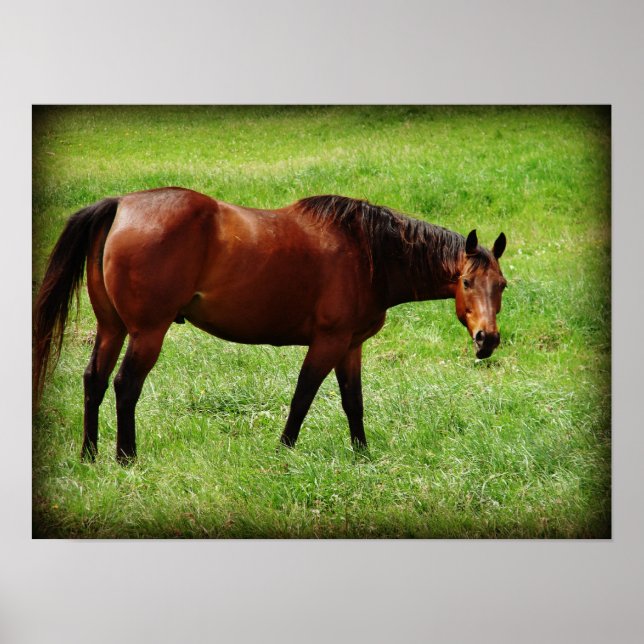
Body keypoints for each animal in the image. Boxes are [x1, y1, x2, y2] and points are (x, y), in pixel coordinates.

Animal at [33, 188, 507, 462]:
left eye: (502, 285)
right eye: (467, 282)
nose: (487, 340)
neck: (367, 251)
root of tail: (121, 205)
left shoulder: (351, 346)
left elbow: (353, 402)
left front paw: (362, 454)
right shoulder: (328, 342)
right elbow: (303, 396)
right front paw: (284, 450)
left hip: (111, 328)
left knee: (94, 381)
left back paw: (90, 455)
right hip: (148, 332)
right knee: (125, 386)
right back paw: (126, 457)